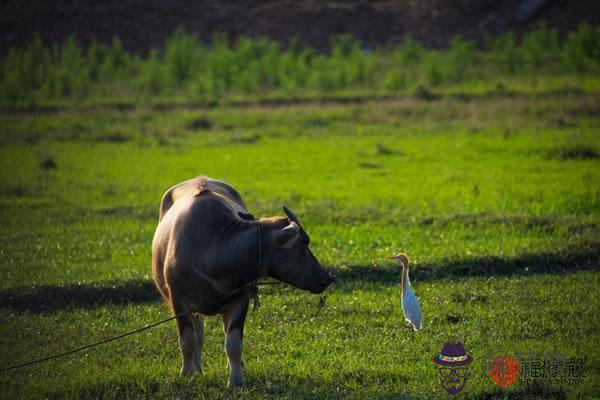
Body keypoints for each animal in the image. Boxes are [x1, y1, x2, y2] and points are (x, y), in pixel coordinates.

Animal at [152, 177, 336, 386]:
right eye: (304, 242)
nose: (327, 277)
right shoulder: (178, 300)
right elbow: (188, 339)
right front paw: (186, 374)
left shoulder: (241, 298)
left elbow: (233, 342)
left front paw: (236, 380)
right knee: (198, 332)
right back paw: (196, 368)